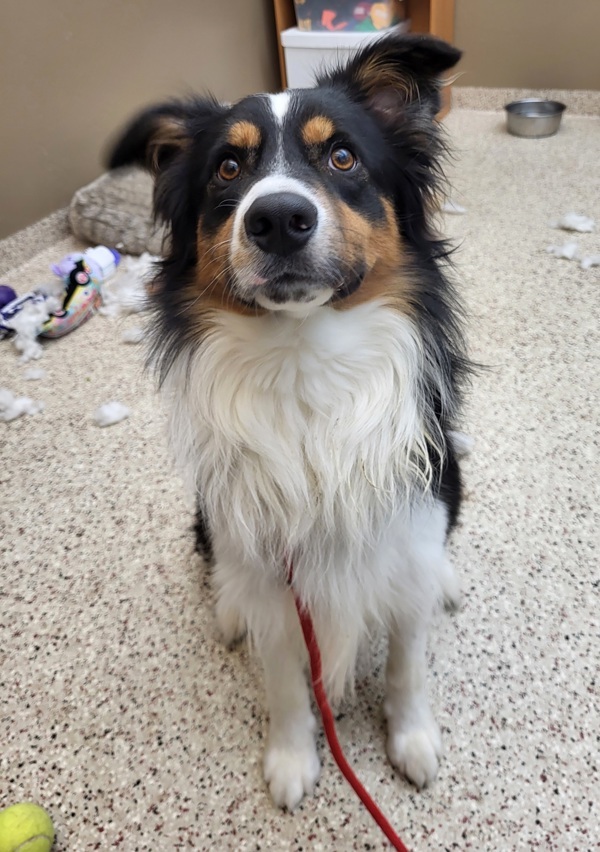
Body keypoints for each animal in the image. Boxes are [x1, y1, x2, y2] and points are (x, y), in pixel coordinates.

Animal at [111, 31, 468, 804]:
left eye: (343, 157)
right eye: (227, 168)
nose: (276, 218)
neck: (305, 362)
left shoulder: (408, 531)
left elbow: (408, 660)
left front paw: (412, 739)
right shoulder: (274, 574)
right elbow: (282, 680)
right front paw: (293, 757)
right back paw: (228, 610)